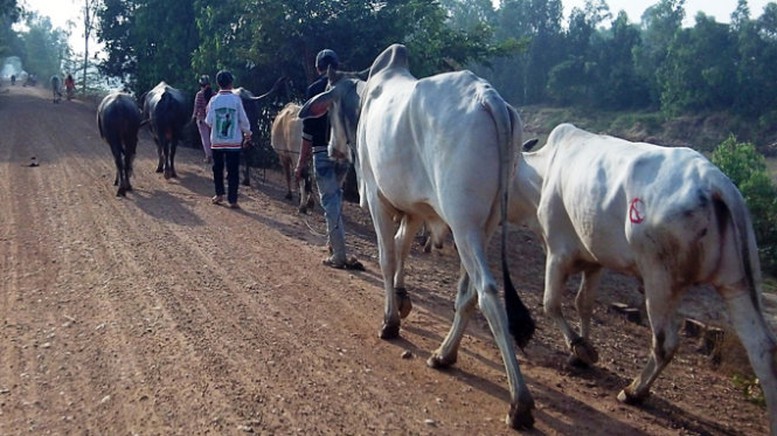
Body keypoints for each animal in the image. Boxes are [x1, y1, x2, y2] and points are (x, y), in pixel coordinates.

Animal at [510, 123, 776, 436]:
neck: (542, 174)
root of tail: (715, 183)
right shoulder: (595, 260)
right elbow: (583, 304)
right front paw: (581, 353)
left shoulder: (557, 252)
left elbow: (551, 304)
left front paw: (580, 347)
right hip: (737, 284)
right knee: (762, 351)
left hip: (659, 279)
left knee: (665, 343)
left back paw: (634, 391)